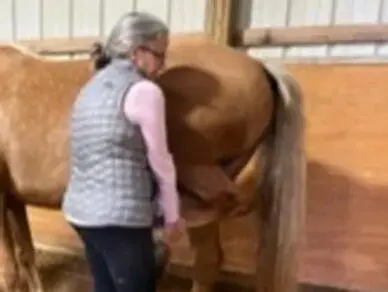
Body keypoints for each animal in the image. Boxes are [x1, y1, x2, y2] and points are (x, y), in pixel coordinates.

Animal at [0, 34, 304, 292]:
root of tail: (257, 65)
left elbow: (9, 270)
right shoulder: (13, 200)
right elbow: (26, 256)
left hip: (194, 170)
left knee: (225, 210)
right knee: (209, 256)